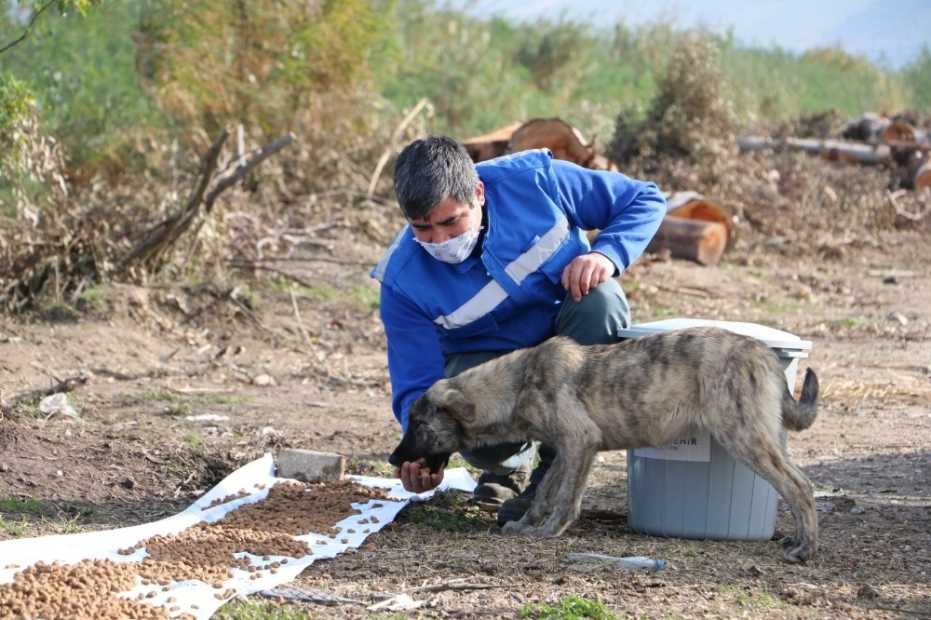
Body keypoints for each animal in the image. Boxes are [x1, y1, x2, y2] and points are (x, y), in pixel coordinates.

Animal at [390, 326, 820, 564]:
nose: (393, 458)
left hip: (742, 435)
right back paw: (799, 540)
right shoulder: (565, 450)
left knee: (800, 485)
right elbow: (545, 492)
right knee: (798, 483)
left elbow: (565, 499)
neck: (517, 384)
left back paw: (805, 549)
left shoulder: (580, 442)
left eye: (418, 425)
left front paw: (549, 532)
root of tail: (763, 352)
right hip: (761, 435)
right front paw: (526, 524)